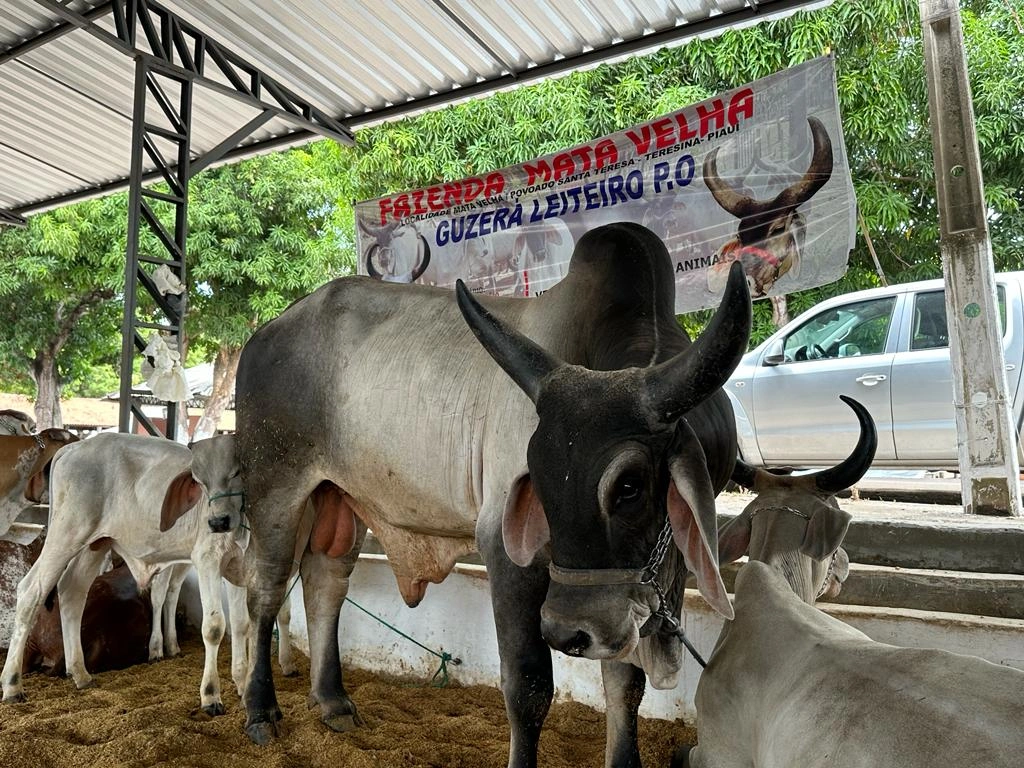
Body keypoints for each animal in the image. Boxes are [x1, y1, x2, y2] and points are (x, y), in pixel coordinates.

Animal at [1, 434, 296, 716]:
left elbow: (241, 624)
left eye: (237, 471)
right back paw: (13, 685)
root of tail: (74, 447)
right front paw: (211, 696)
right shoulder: (208, 559)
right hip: (66, 534)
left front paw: (244, 687)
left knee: (72, 591)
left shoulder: (238, 566)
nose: (217, 521)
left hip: (97, 543)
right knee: (30, 591)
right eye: (199, 480)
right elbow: (214, 627)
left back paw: (81, 674)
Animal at [230, 219, 753, 765]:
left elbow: (625, 686)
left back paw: (332, 701)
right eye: (535, 478)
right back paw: (260, 711)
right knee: (264, 589)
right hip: (274, 488)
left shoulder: (634, 594)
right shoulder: (509, 557)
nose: (568, 632)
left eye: (629, 486)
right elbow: (528, 688)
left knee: (325, 584)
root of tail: (264, 334)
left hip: (340, 499)